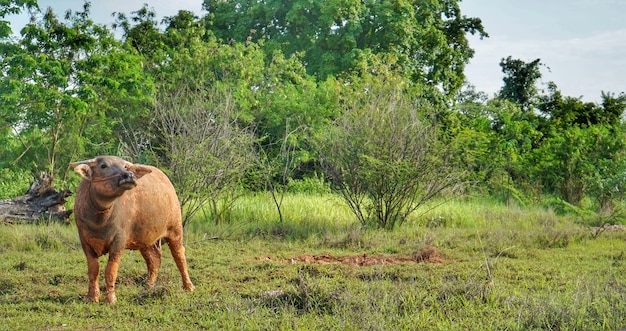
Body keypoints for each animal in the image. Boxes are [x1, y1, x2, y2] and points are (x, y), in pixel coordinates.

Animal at [69, 157, 194, 304]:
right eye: (103, 165)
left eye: (125, 166)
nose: (129, 175)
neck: (99, 220)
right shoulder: (84, 241)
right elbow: (93, 270)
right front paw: (91, 297)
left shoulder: (119, 241)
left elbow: (110, 271)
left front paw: (110, 299)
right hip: (145, 239)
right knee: (154, 260)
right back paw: (148, 287)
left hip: (175, 229)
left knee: (179, 255)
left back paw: (189, 286)